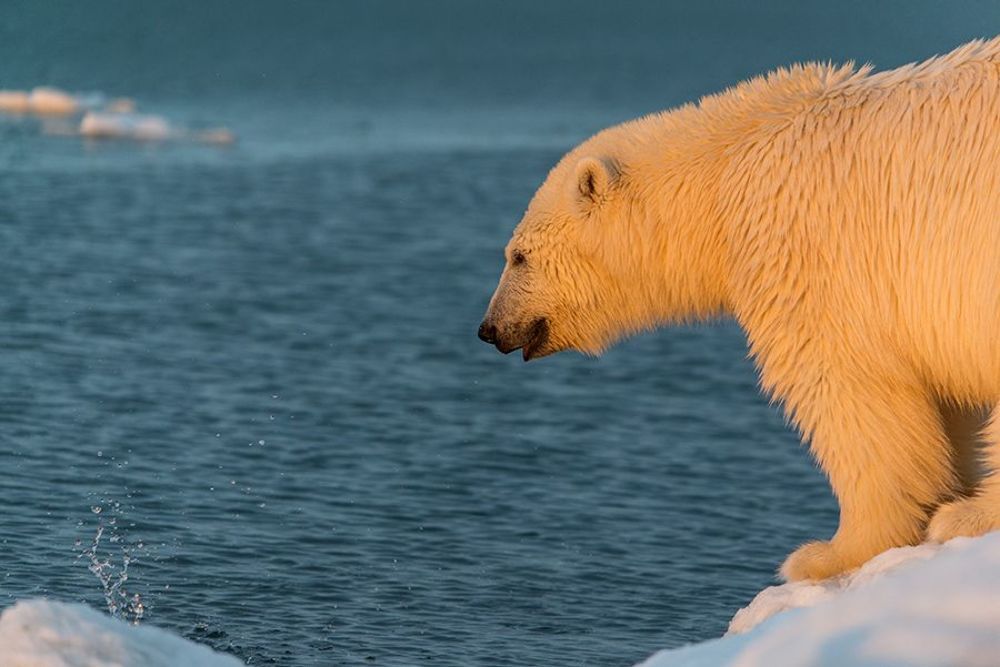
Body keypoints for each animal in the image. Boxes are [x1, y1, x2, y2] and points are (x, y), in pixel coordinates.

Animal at [478, 36, 1000, 581]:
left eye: (518, 255)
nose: (489, 328)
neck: (724, 180)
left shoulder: (807, 255)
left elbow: (852, 391)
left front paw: (826, 554)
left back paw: (968, 516)